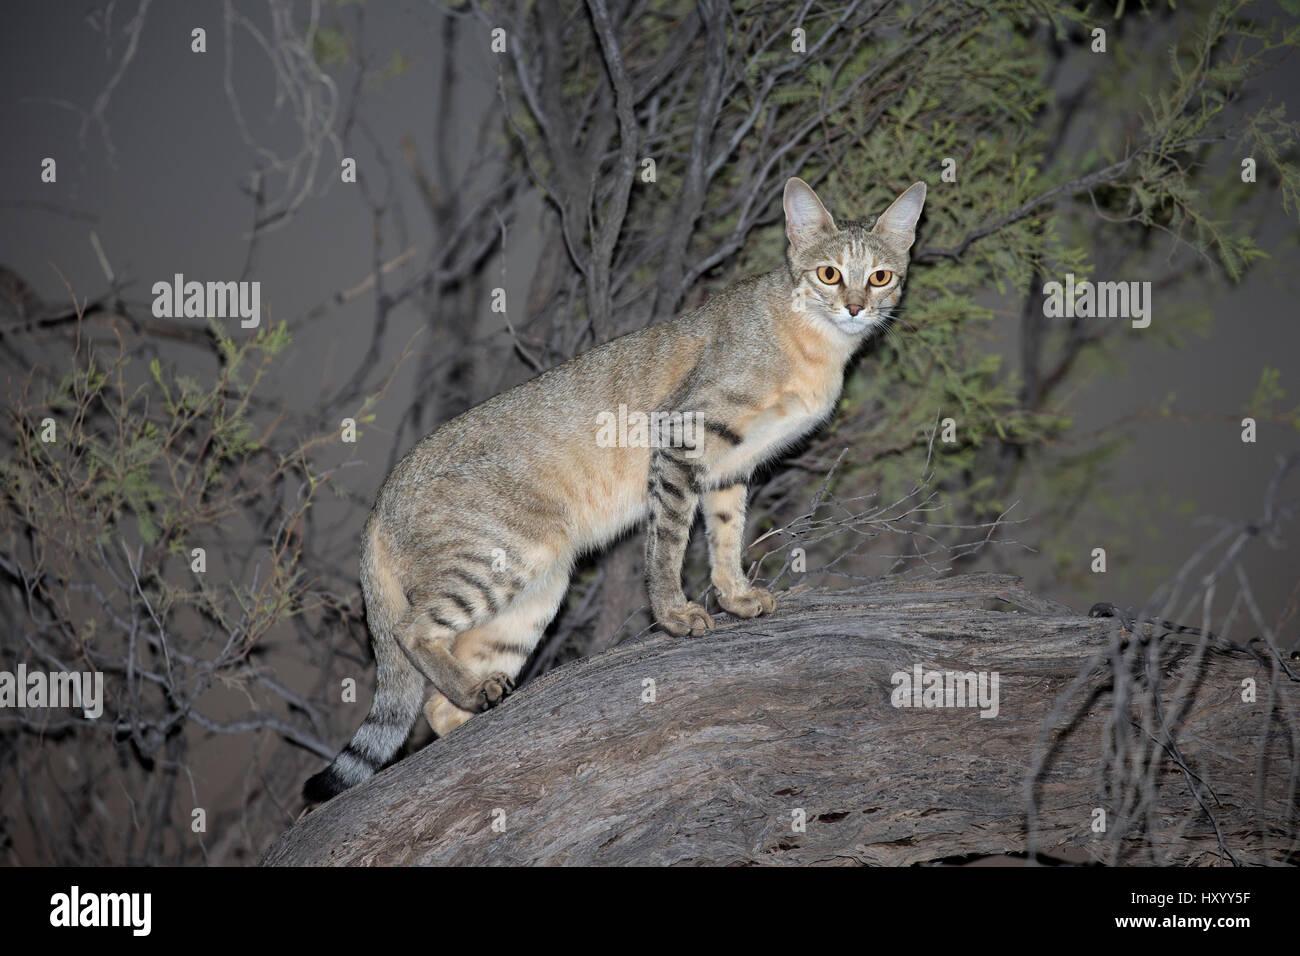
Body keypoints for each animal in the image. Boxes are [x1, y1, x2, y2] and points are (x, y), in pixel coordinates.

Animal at [306, 174, 925, 801]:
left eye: (880, 276)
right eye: (829, 274)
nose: (856, 307)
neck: (816, 346)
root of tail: (380, 502)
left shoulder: (729, 470)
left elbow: (725, 537)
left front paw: (734, 597)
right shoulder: (681, 436)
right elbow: (669, 543)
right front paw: (674, 615)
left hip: (539, 590)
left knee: (434, 706)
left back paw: (477, 713)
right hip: (508, 554)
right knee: (411, 631)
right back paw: (472, 691)